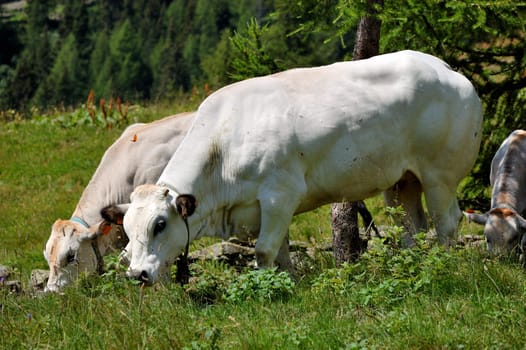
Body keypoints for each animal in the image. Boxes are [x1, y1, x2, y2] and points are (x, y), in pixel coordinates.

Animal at [104, 50, 486, 284]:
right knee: (413, 227)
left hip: (439, 174)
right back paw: (414, 265)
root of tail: (445, 68)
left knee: (446, 223)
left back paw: (443, 265)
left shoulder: (279, 194)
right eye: (127, 228)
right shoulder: (267, 208)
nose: (137, 274)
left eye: (160, 224)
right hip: (402, 180)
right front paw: (286, 282)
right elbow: (282, 252)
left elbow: (264, 250)